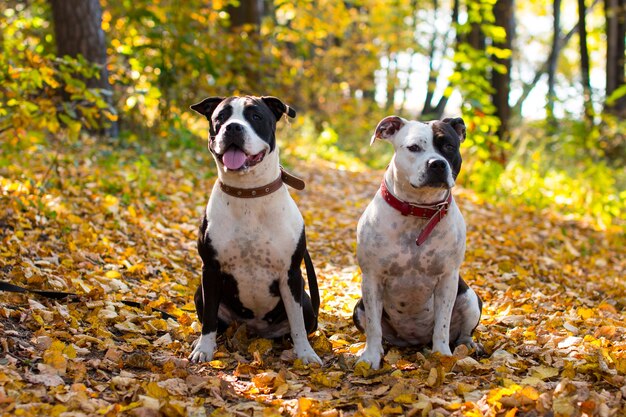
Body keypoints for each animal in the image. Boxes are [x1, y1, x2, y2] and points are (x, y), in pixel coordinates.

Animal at [188, 95, 320, 364]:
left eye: (256, 116)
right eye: (220, 117)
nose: (232, 128)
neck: (248, 193)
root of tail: (253, 331)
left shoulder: (291, 274)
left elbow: (298, 324)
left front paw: (305, 354)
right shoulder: (211, 270)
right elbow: (209, 319)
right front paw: (204, 349)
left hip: (308, 303)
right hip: (200, 291)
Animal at [352, 114, 482, 368]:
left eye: (448, 146)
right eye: (413, 148)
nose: (437, 164)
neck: (419, 210)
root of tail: (413, 341)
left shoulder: (448, 278)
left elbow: (442, 324)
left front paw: (442, 356)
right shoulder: (372, 278)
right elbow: (373, 326)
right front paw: (370, 357)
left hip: (470, 297)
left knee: (463, 331)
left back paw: (468, 346)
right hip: (359, 307)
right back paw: (380, 349)